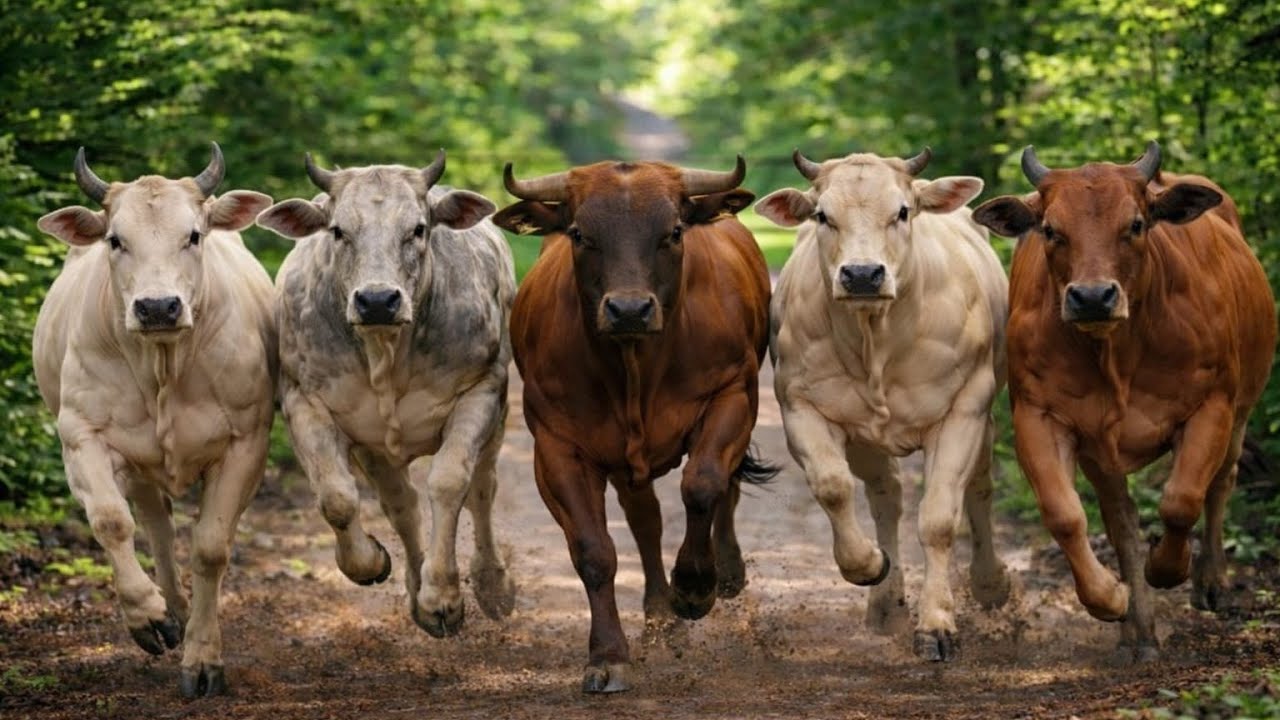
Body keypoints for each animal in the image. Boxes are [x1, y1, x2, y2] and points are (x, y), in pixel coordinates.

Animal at [33, 144, 276, 697]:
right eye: (115, 240)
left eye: (194, 235)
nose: (158, 307)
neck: (164, 367)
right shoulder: (81, 435)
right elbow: (110, 520)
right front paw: (147, 617)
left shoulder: (246, 443)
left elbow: (211, 547)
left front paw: (203, 659)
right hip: (140, 466)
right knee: (156, 527)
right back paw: (171, 610)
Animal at [255, 151, 517, 641]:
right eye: (338, 230)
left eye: (418, 228)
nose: (377, 300)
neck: (386, 351)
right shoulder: (303, 401)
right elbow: (337, 497)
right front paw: (371, 563)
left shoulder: (482, 391)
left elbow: (450, 485)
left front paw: (444, 598)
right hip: (377, 449)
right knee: (403, 506)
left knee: (482, 490)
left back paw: (491, 585)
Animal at [492, 156, 776, 693]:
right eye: (579, 234)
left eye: (674, 231)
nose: (628, 309)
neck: (636, 368)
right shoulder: (557, 448)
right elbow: (593, 551)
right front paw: (607, 656)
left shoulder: (732, 395)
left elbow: (703, 485)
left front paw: (695, 587)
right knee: (646, 523)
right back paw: (661, 621)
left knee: (722, 487)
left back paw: (724, 574)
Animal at [755, 148, 1012, 661]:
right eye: (822, 215)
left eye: (902, 211)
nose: (861, 275)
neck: (880, 339)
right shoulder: (801, 406)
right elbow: (833, 488)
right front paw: (869, 565)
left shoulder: (965, 409)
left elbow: (939, 518)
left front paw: (937, 626)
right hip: (868, 442)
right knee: (886, 498)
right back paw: (886, 606)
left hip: (985, 420)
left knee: (979, 488)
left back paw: (990, 584)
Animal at [971, 141, 1276, 659]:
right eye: (1050, 229)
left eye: (1135, 224)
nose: (1093, 297)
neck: (1119, 354)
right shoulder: (1041, 418)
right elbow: (1065, 515)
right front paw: (1111, 597)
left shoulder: (1211, 407)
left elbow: (1182, 500)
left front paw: (1167, 568)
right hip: (1102, 453)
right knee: (1121, 521)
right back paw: (1140, 631)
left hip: (1240, 413)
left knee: (1221, 482)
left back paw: (1211, 582)